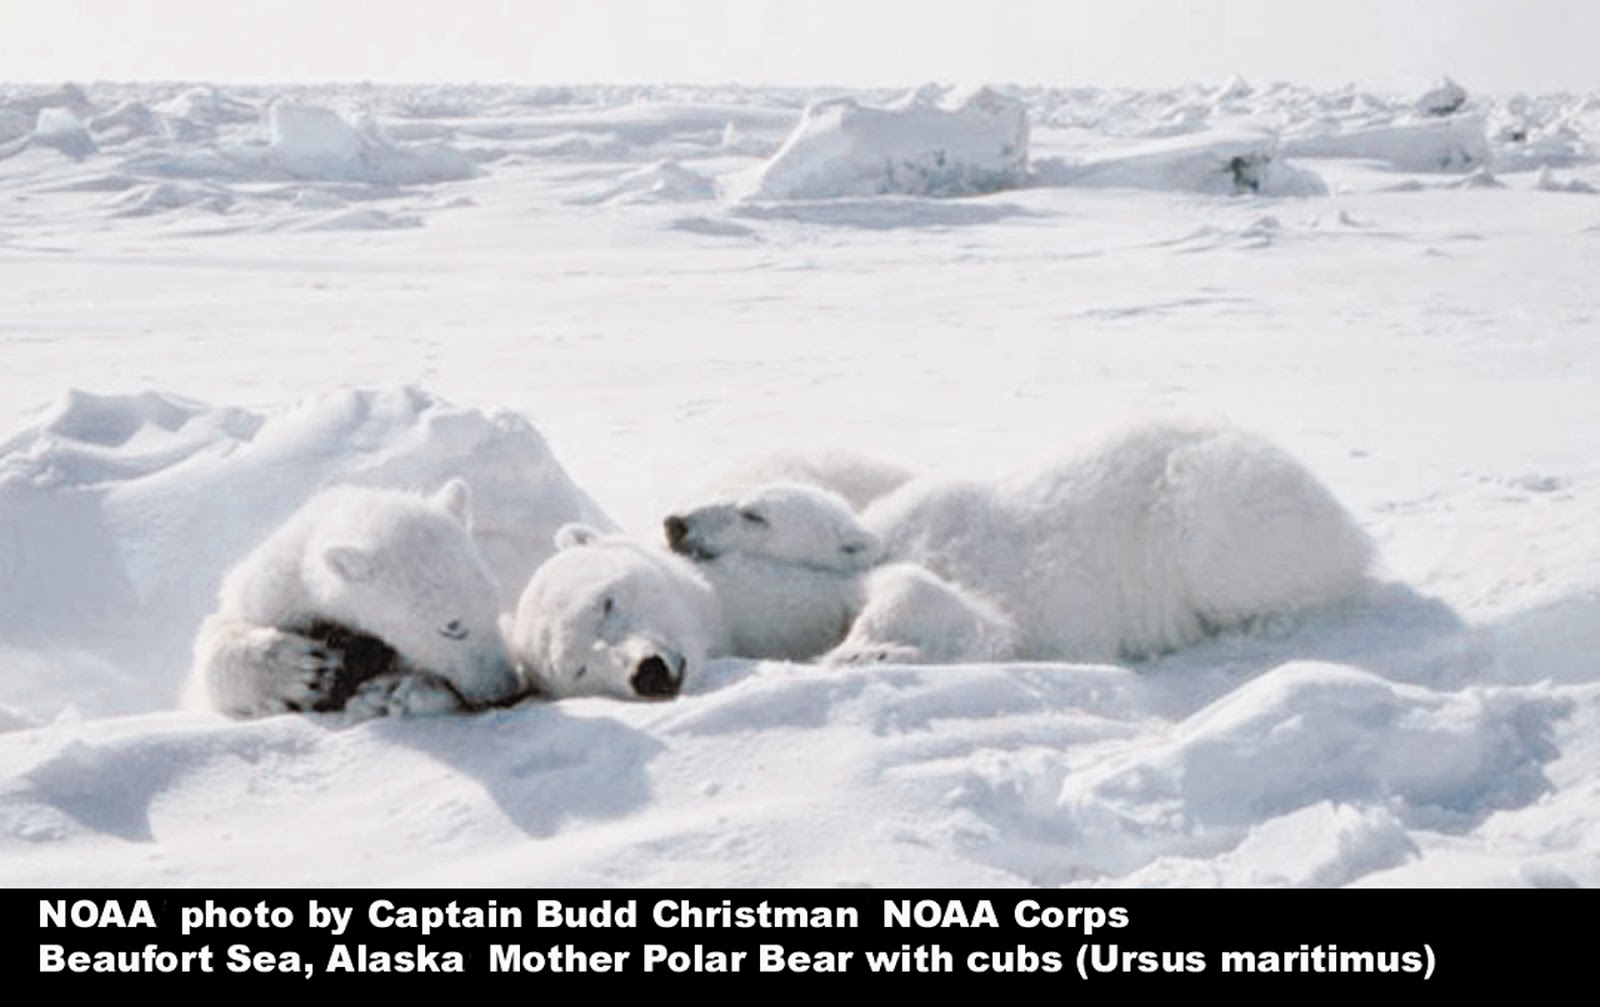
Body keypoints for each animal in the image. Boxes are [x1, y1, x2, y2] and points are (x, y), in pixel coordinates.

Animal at [187, 480, 522, 718]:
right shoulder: (270, 590)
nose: (506, 689)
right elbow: (214, 644)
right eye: (452, 627)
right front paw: (300, 671)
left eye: (493, 605)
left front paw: (393, 692)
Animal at [663, 420, 1376, 664]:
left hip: (1211, 508)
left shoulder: (987, 566)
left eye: (754, 514)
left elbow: (966, 612)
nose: (676, 523)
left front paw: (865, 650)